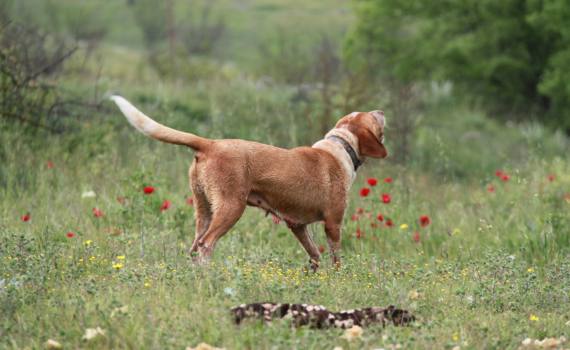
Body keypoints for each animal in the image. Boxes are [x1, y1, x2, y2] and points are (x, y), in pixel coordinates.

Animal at [111, 95, 386, 268]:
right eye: (373, 118)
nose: (381, 110)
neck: (341, 146)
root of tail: (210, 144)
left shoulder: (296, 225)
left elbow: (314, 254)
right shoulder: (333, 224)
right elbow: (335, 258)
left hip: (203, 210)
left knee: (194, 246)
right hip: (231, 207)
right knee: (206, 245)